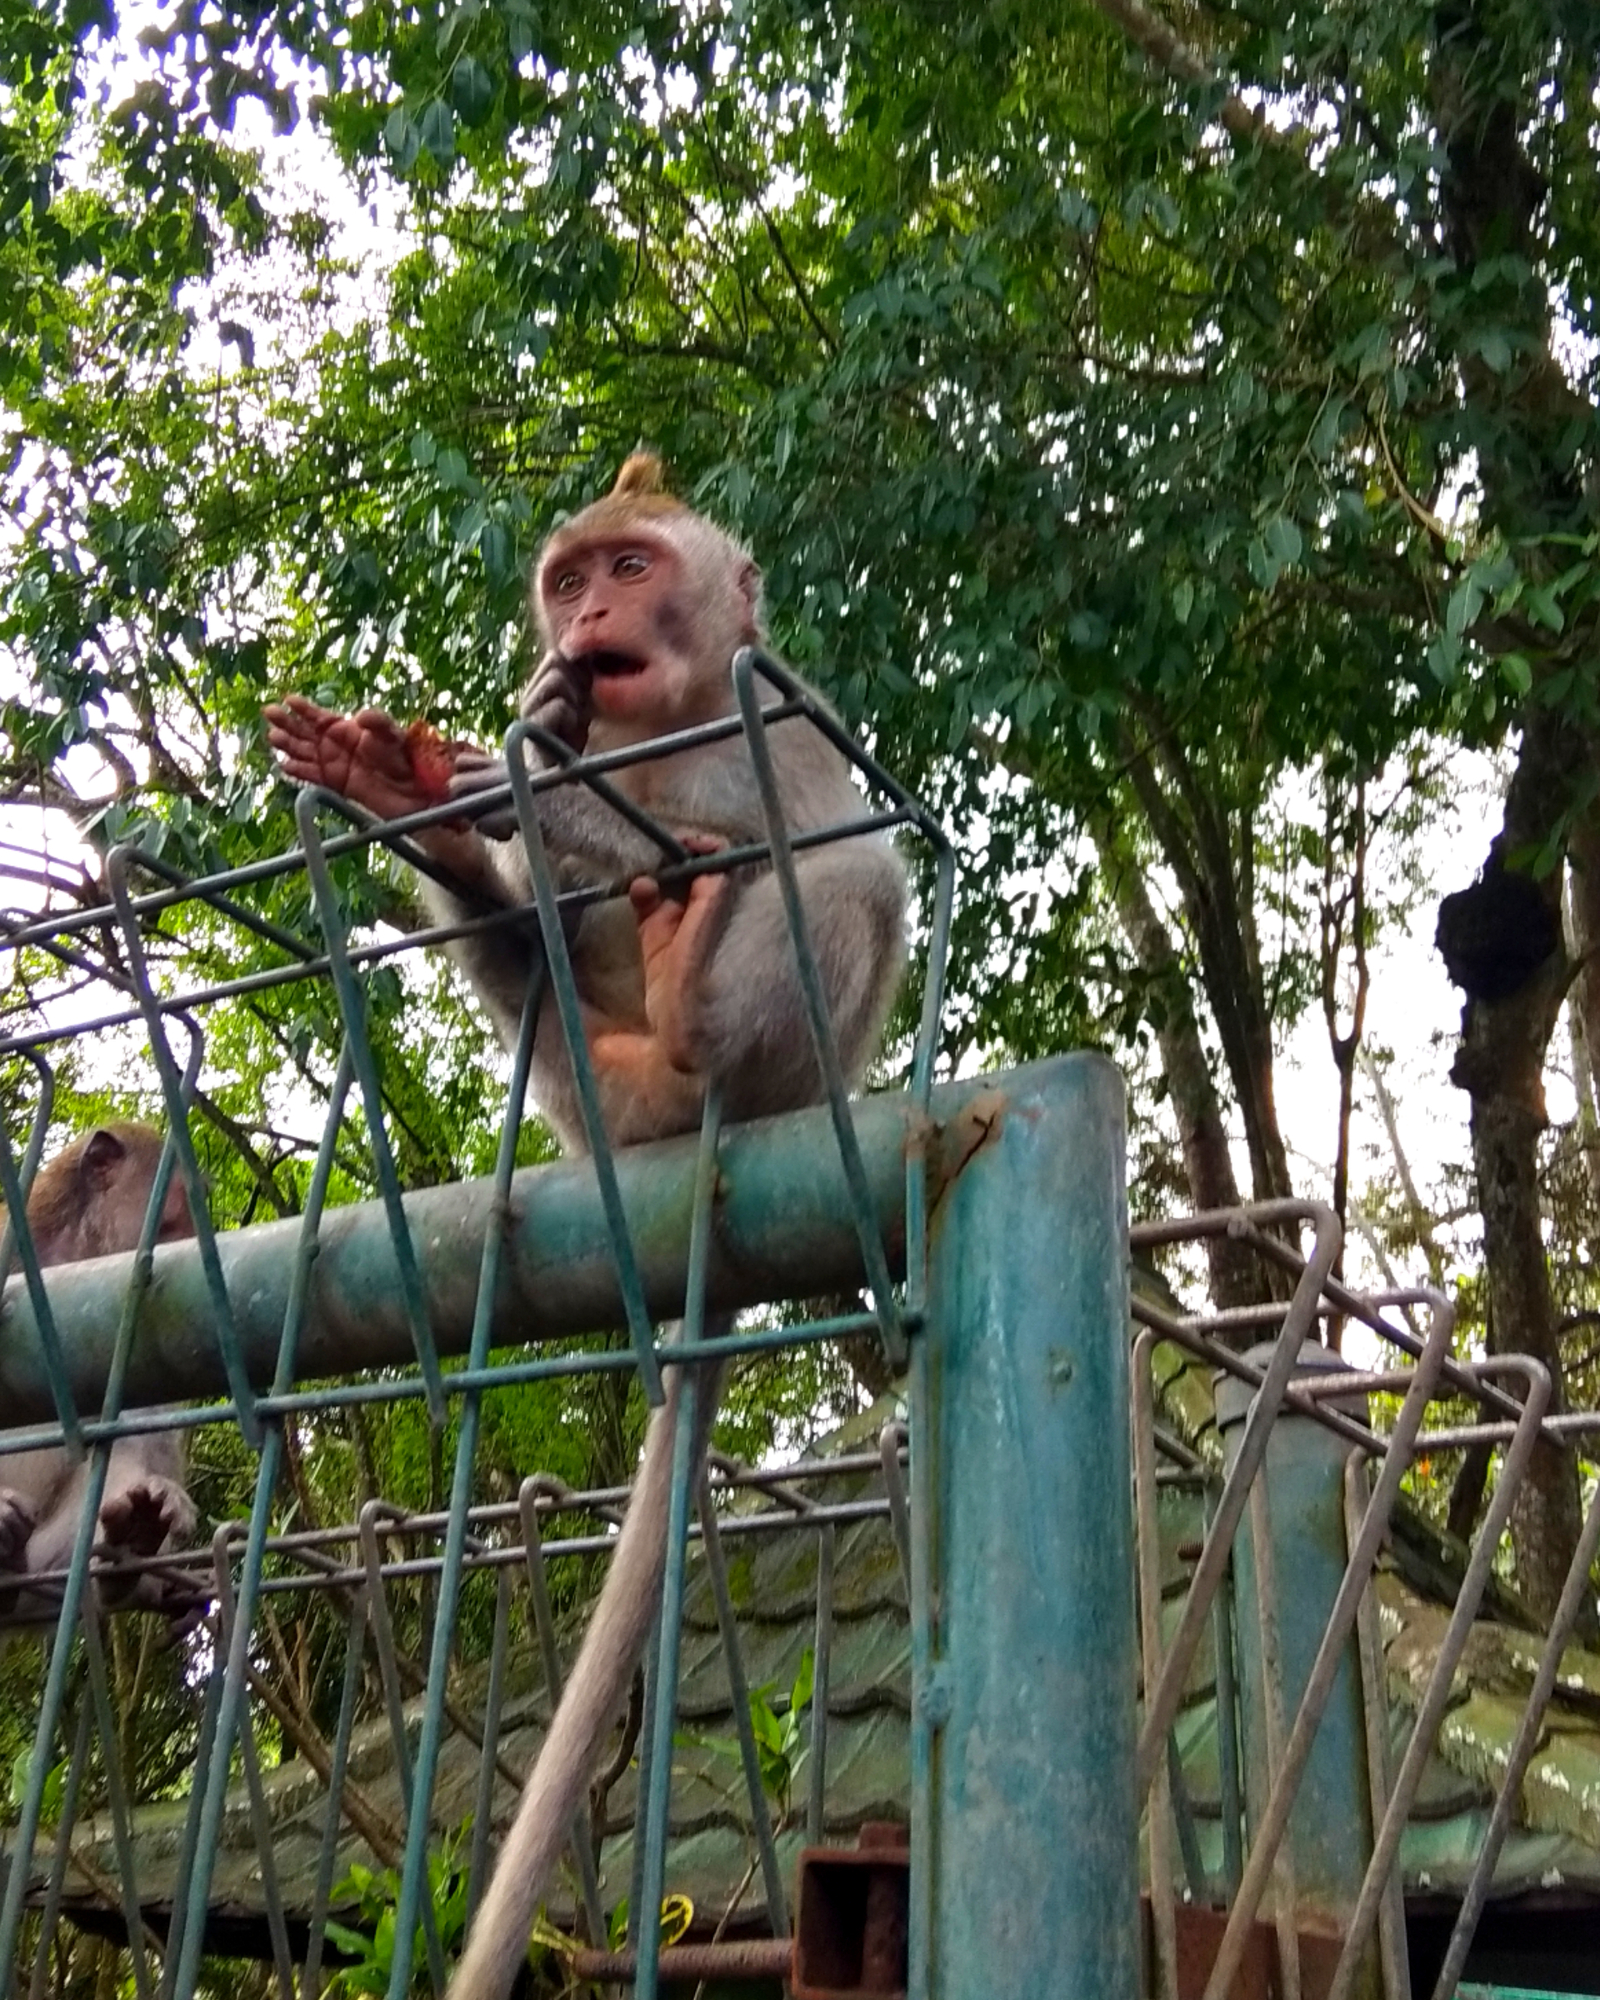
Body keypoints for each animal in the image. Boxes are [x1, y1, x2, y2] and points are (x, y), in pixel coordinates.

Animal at [268, 454, 908, 2000]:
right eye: (569, 581)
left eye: (629, 567)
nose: (584, 616)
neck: (660, 731)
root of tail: (679, 1132)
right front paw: (436, 791)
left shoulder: (776, 722)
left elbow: (793, 833)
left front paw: (539, 786)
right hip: (576, 1087)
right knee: (543, 972)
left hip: (798, 1064)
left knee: (829, 886)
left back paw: (697, 1009)